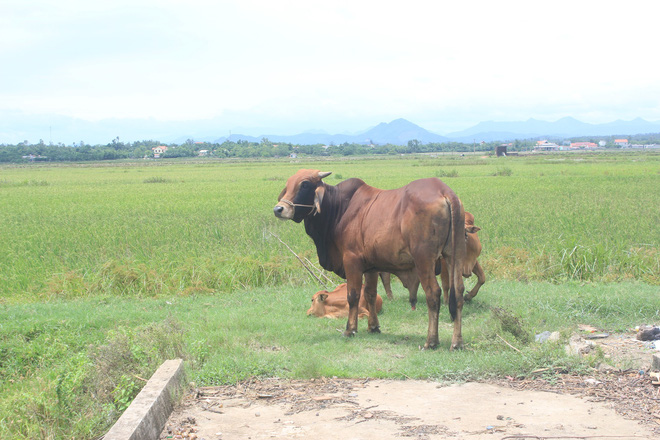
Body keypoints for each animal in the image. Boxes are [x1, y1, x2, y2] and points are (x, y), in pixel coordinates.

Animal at [270, 169, 466, 350]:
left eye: (304, 184)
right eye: (288, 184)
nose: (278, 209)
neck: (340, 208)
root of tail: (444, 191)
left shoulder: (351, 261)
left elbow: (353, 295)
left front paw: (350, 329)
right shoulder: (371, 267)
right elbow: (370, 294)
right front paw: (373, 327)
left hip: (424, 259)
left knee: (433, 294)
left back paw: (431, 341)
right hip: (453, 255)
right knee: (458, 293)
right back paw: (456, 342)